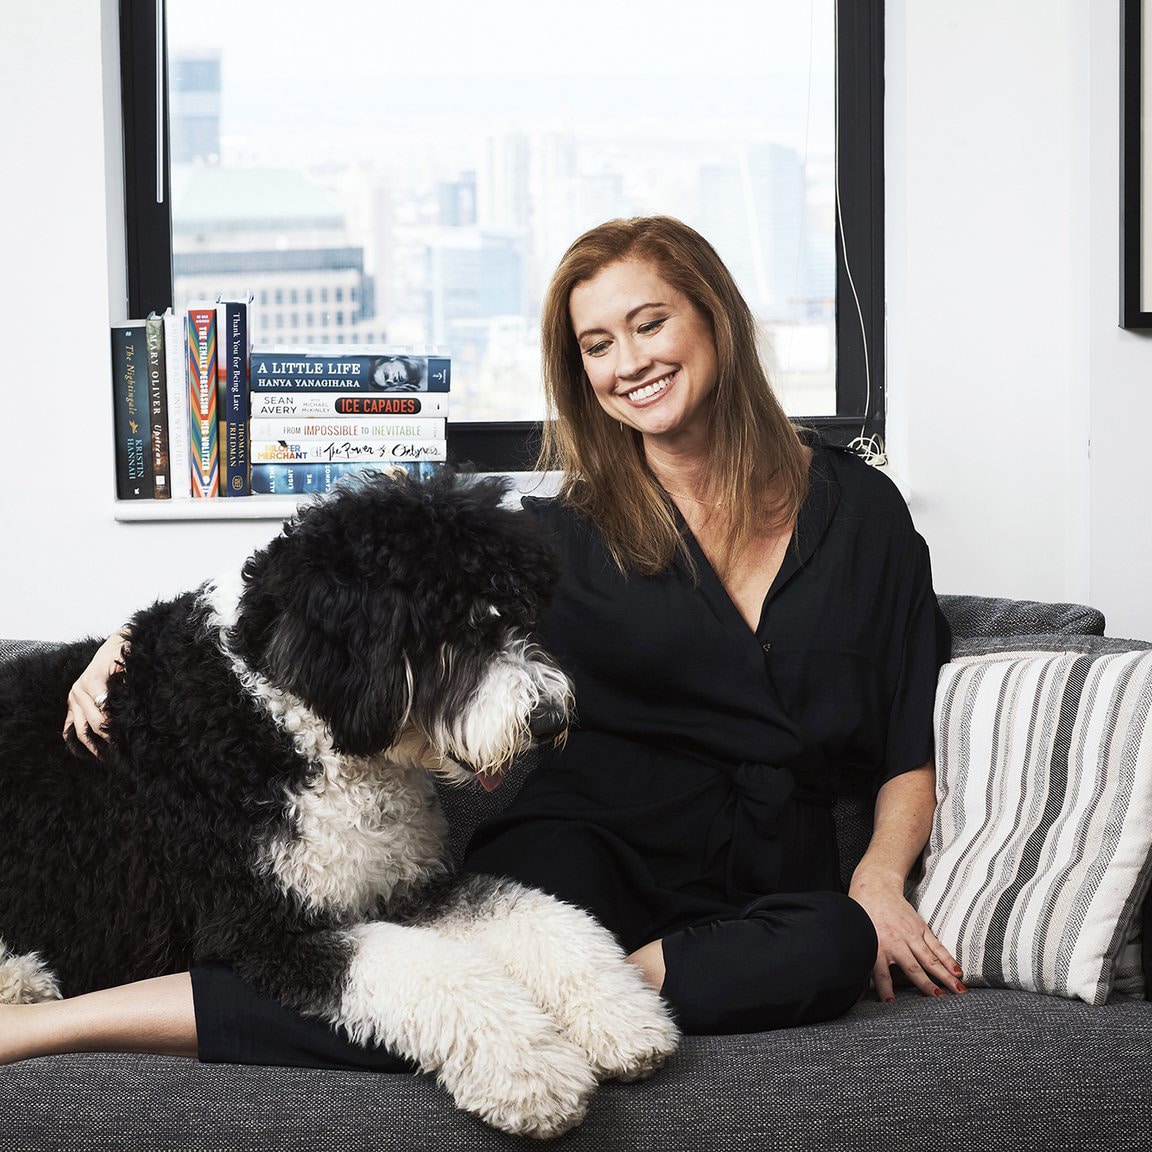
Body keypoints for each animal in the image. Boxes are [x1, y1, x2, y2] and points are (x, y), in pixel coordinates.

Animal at [0, 472, 677, 1138]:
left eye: (513, 617)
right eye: (455, 630)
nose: (550, 719)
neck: (292, 717)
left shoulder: (406, 884)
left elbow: (532, 913)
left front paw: (623, 1017)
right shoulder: (259, 926)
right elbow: (425, 968)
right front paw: (533, 1073)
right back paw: (24, 983)